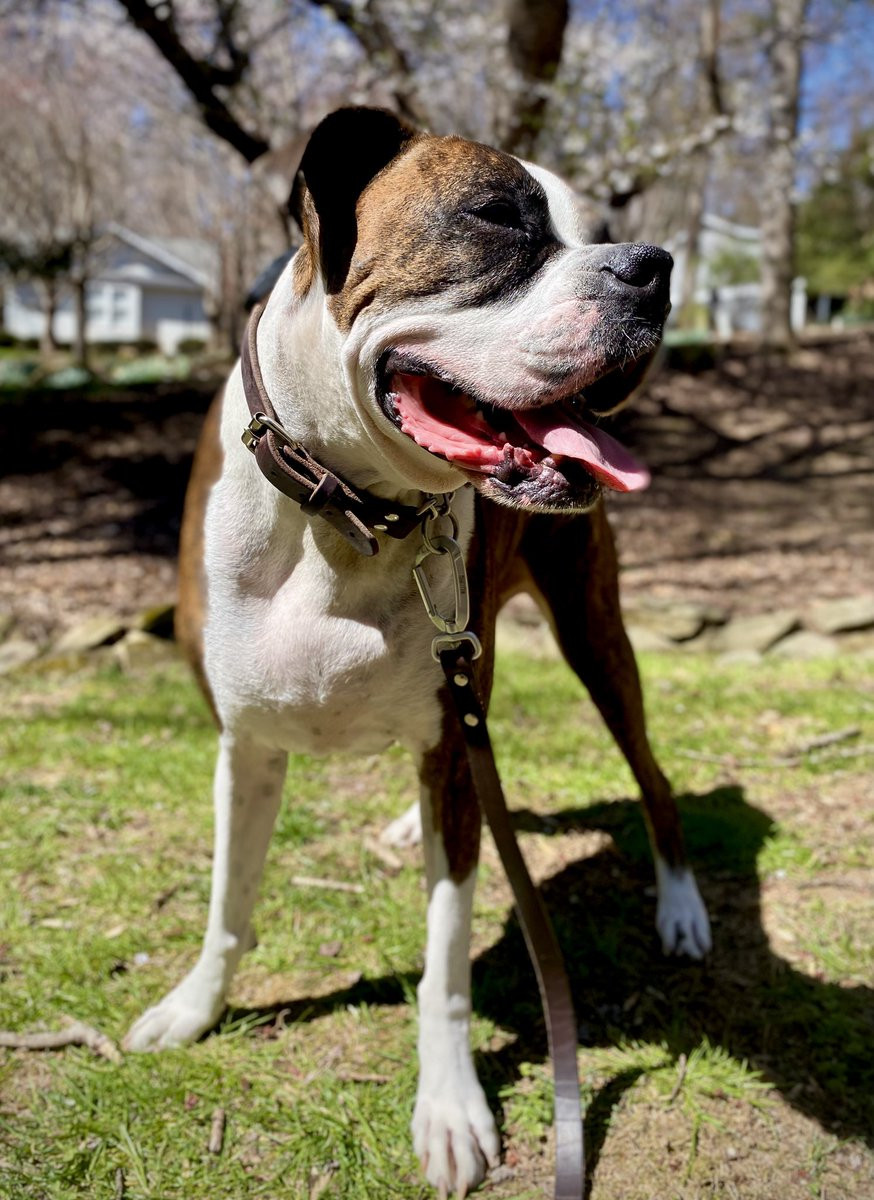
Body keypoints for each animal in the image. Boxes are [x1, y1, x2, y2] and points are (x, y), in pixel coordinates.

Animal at [124, 107, 711, 1197]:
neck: (349, 510)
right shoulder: (246, 748)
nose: (654, 268)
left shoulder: (449, 756)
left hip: (597, 641)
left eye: (606, 230)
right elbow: (229, 900)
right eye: (494, 217)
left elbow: (442, 962)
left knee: (652, 778)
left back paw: (682, 907)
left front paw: (449, 1108)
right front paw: (194, 1007)